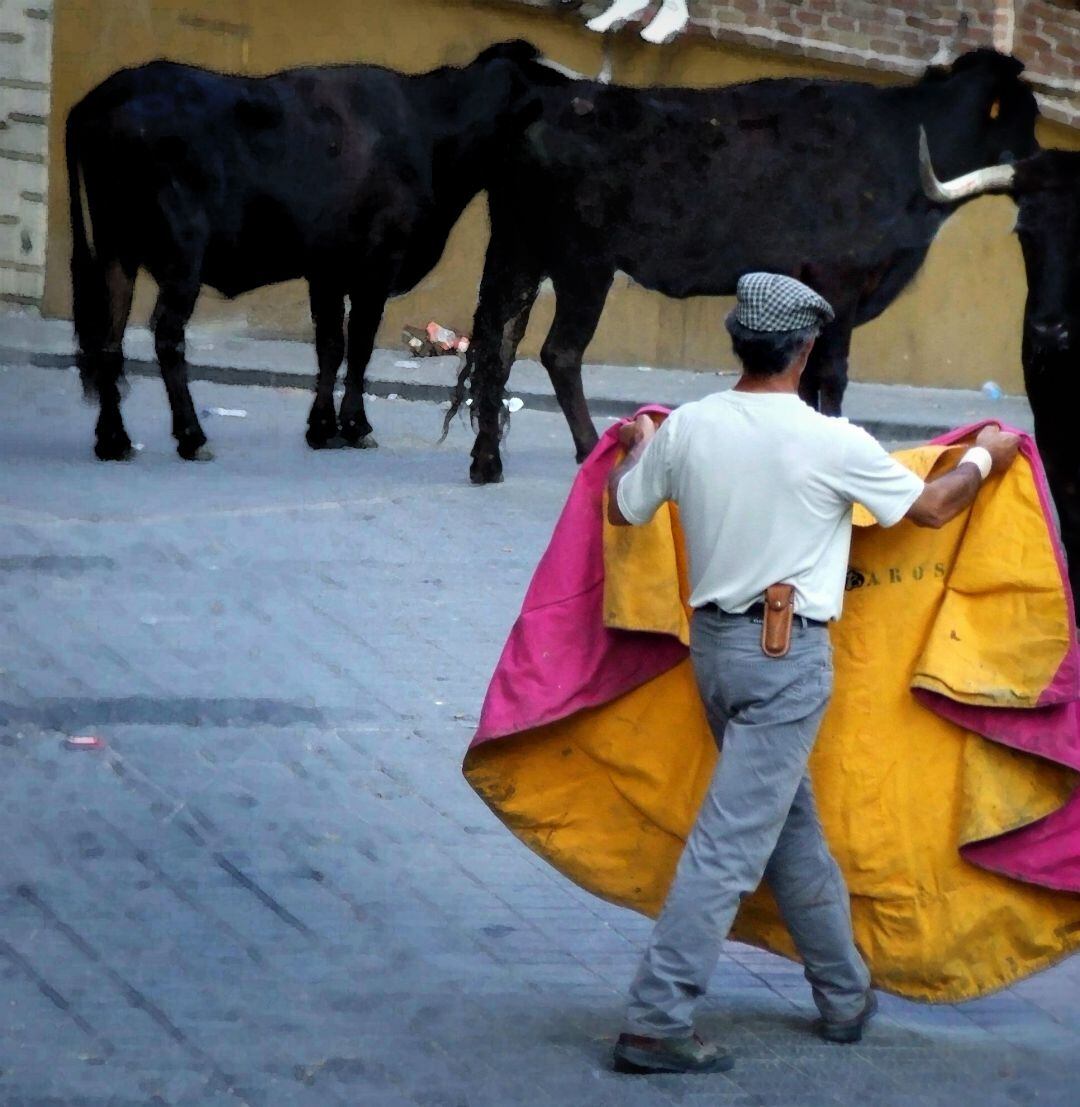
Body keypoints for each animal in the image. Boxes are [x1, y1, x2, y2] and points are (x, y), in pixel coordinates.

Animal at [66, 40, 562, 462]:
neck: (430, 130)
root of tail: (107, 93)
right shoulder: (376, 266)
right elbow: (359, 345)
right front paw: (356, 426)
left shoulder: (327, 270)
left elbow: (330, 345)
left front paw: (322, 429)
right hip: (182, 254)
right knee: (167, 336)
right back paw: (191, 437)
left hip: (115, 250)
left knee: (109, 336)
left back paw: (114, 440)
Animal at [449, 50, 1035, 484]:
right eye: (1022, 117)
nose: (1036, 163)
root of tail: (546, 99)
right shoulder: (840, 286)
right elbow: (831, 375)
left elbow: (804, 379)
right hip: (583, 264)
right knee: (559, 352)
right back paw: (590, 450)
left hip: (519, 250)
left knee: (498, 344)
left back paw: (487, 462)